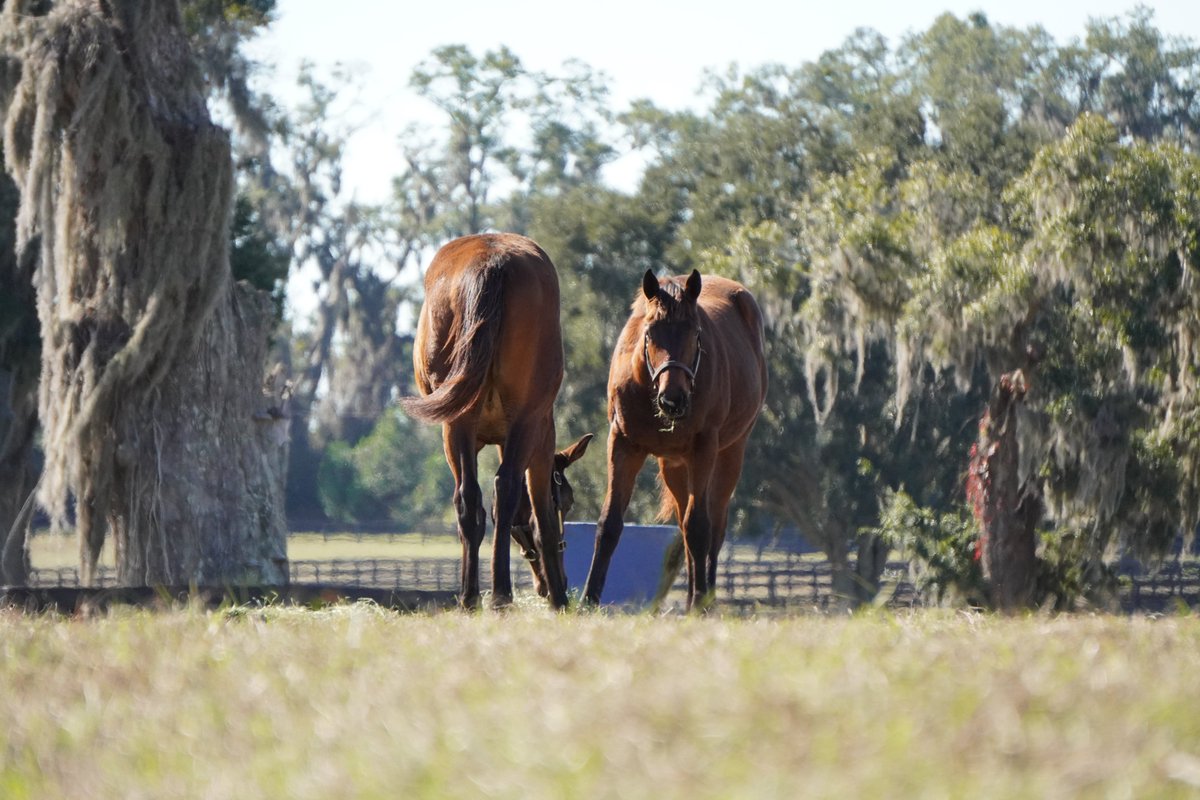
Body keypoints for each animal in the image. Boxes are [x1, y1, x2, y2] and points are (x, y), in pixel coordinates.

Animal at [403, 232, 590, 609]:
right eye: (566, 501)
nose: (558, 582)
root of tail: (491, 263)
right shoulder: (540, 436)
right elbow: (541, 517)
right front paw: (559, 598)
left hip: (454, 425)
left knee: (468, 498)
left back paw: (471, 596)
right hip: (525, 419)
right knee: (505, 490)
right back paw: (502, 594)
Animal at [583, 269, 767, 611]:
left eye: (695, 333)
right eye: (650, 332)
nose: (674, 400)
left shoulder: (704, 449)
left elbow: (699, 527)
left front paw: (700, 604)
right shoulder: (623, 445)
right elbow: (610, 522)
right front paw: (588, 600)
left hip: (729, 455)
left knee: (713, 529)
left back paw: (704, 598)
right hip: (675, 467)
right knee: (684, 529)